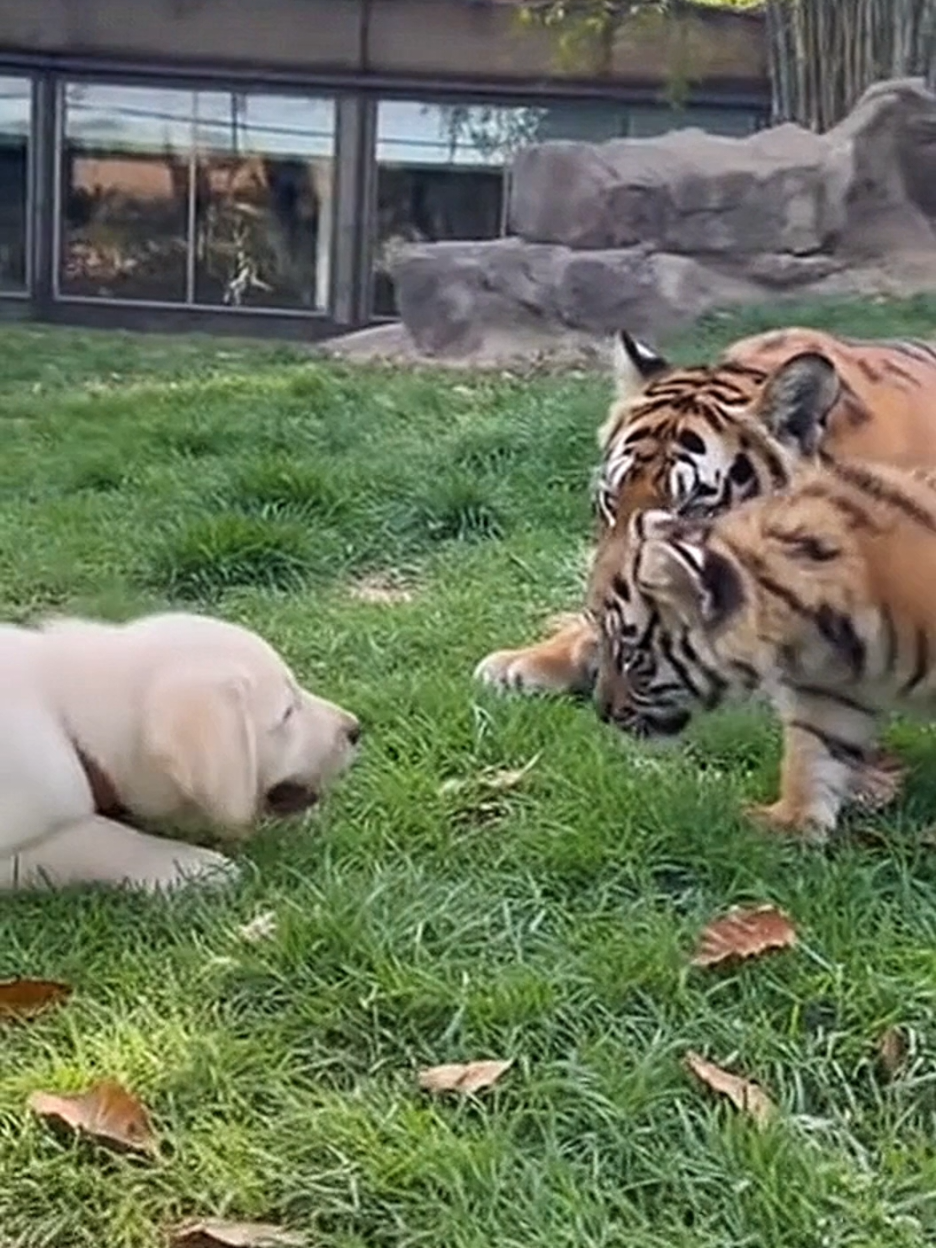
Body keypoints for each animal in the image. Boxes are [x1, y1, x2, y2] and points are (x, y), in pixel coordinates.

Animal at [591, 358, 936, 841]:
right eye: (609, 500)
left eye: (693, 504)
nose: (600, 712)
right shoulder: (829, 687)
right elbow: (817, 746)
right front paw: (789, 821)